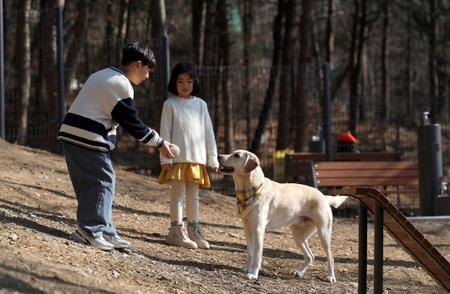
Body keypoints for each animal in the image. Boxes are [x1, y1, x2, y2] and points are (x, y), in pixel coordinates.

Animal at [218, 150, 348, 282]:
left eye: (237, 155)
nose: (218, 155)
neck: (251, 188)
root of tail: (324, 197)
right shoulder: (248, 229)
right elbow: (250, 252)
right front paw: (248, 268)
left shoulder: (258, 230)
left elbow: (257, 256)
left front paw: (253, 274)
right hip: (298, 236)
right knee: (310, 256)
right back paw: (299, 272)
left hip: (323, 234)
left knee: (330, 257)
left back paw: (331, 276)